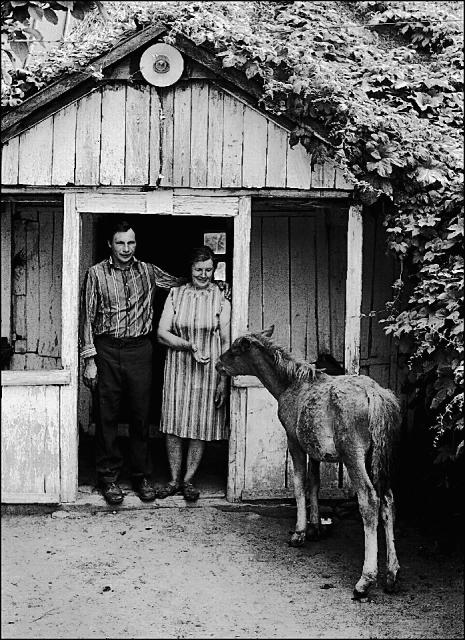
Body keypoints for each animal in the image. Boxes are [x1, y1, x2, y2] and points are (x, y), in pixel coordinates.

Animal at [216, 325, 401, 598]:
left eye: (236, 350)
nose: (218, 364)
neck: (286, 385)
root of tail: (376, 396)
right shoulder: (314, 449)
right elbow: (314, 483)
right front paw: (315, 527)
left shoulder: (293, 439)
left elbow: (299, 483)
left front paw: (300, 532)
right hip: (378, 456)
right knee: (388, 500)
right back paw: (392, 574)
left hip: (353, 454)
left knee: (370, 500)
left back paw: (366, 579)